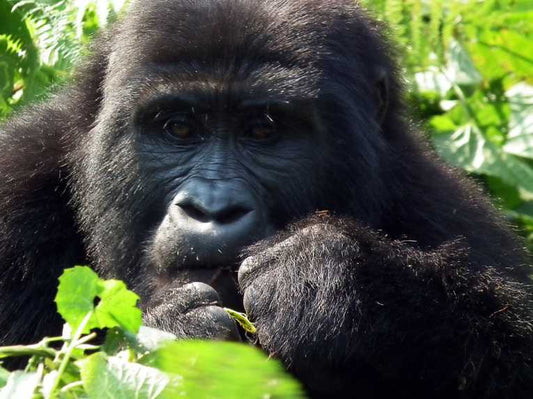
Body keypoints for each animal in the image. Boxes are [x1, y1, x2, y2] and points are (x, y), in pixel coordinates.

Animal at [1, 0, 532, 398]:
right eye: (179, 128)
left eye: (263, 130)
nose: (213, 208)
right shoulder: (14, 187)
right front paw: (177, 336)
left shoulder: (450, 211)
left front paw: (335, 280)